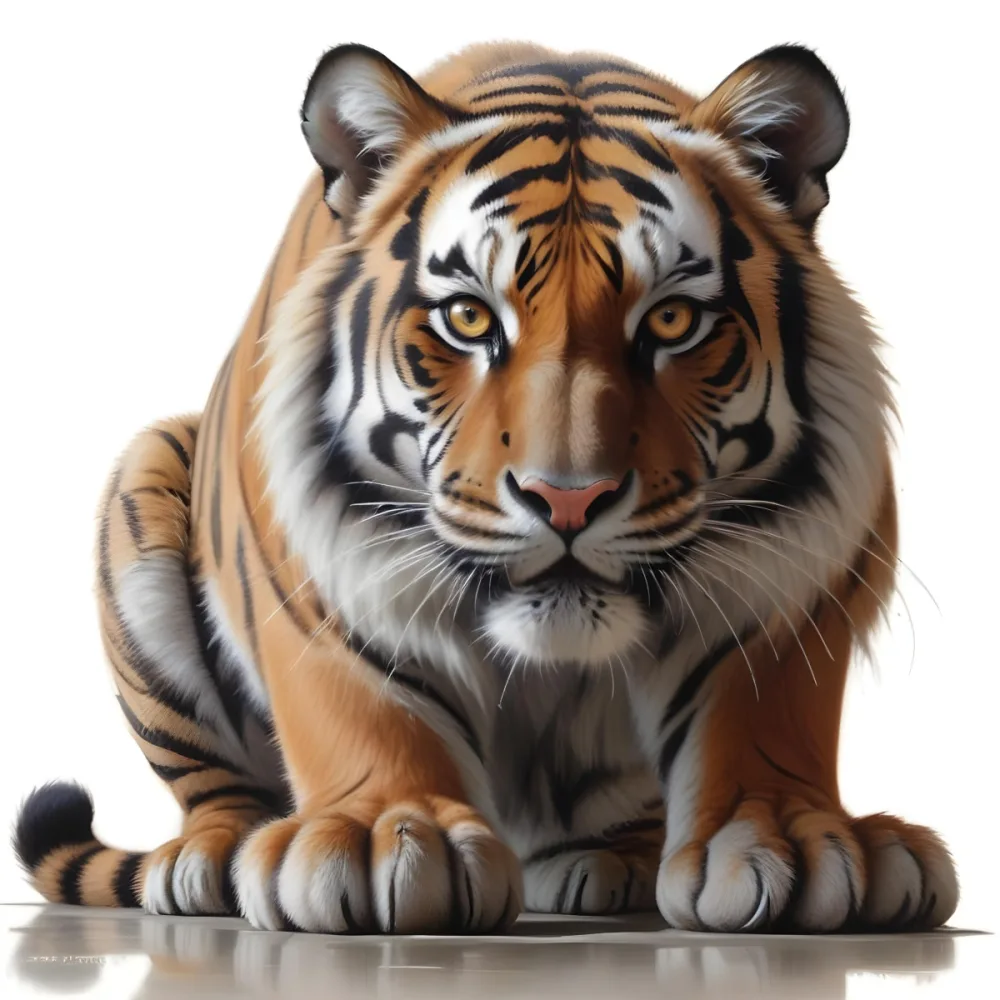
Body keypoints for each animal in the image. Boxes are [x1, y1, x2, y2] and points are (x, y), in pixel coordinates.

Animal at [14, 40, 959, 935]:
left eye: (671, 319)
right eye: (468, 318)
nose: (568, 499)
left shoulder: (799, 566)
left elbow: (763, 705)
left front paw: (785, 834)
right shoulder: (317, 565)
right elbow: (358, 696)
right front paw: (382, 835)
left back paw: (612, 859)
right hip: (148, 472)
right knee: (210, 784)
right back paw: (208, 859)